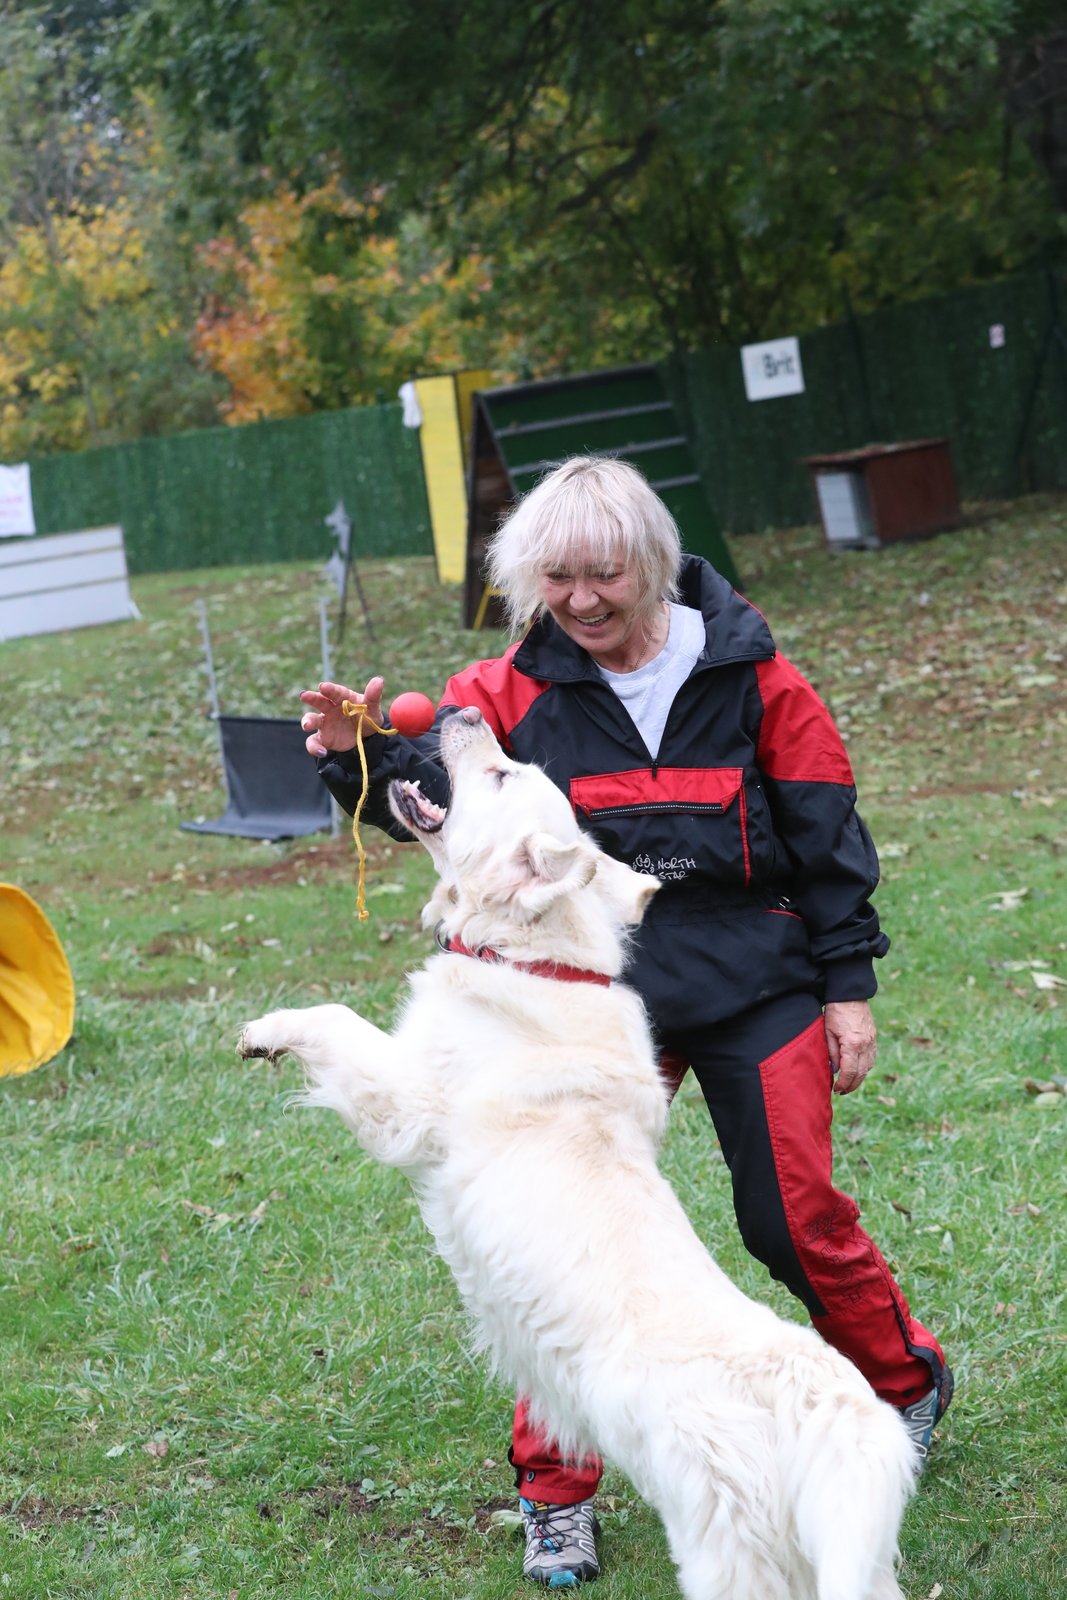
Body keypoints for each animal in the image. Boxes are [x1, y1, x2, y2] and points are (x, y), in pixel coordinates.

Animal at [238, 713, 915, 1600]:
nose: (461, 715)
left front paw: (265, 1031)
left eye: (500, 775)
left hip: (723, 1549)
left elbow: (333, 1018)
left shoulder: (407, 1103)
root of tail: (828, 1417)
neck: (537, 957)